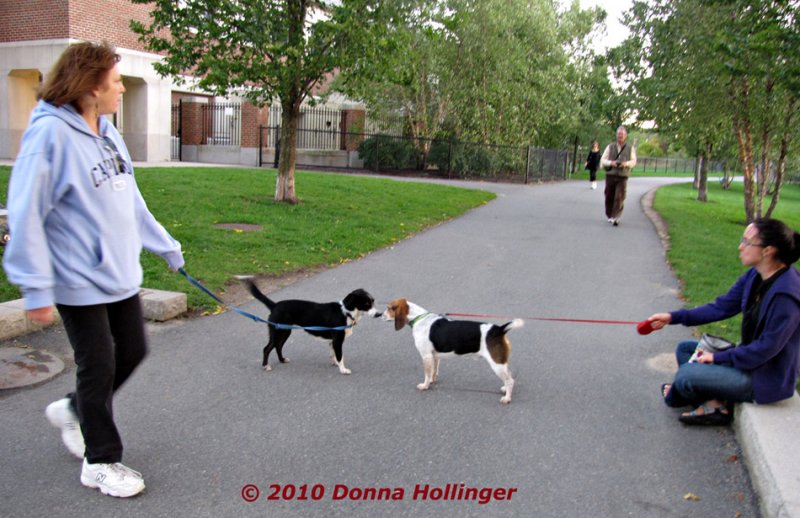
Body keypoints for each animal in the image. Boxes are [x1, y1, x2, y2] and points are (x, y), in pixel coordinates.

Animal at [247, 282, 378, 376]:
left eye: (373, 301)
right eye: (366, 304)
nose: (379, 314)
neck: (346, 312)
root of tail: (274, 305)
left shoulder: (332, 341)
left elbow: (333, 355)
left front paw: (335, 363)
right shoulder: (337, 341)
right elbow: (340, 356)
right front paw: (343, 370)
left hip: (285, 332)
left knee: (278, 346)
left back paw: (282, 360)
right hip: (278, 332)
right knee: (267, 348)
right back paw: (266, 366)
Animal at [382, 298, 520, 404]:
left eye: (390, 308)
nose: (381, 315)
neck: (419, 318)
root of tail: (499, 329)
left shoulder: (426, 356)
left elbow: (427, 374)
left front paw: (425, 386)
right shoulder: (434, 356)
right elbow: (433, 371)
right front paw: (432, 381)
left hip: (496, 364)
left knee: (510, 380)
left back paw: (507, 398)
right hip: (501, 362)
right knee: (509, 377)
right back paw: (504, 389)